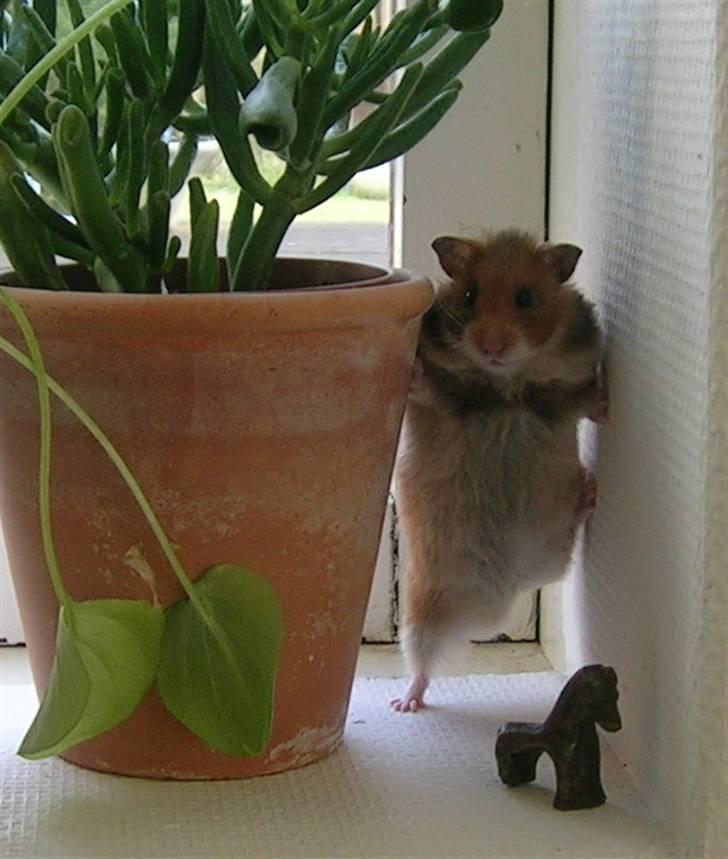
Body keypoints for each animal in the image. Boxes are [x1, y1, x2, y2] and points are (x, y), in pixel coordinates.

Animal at [391, 229, 607, 712]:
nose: (492, 348)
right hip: (422, 610)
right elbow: (424, 386)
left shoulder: (567, 394)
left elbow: (589, 403)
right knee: (422, 665)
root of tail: (502, 592)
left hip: (547, 549)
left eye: (525, 297)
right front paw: (410, 372)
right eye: (470, 295)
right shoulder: (437, 400)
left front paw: (607, 399)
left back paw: (589, 490)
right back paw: (405, 703)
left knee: (556, 556)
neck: (507, 384)